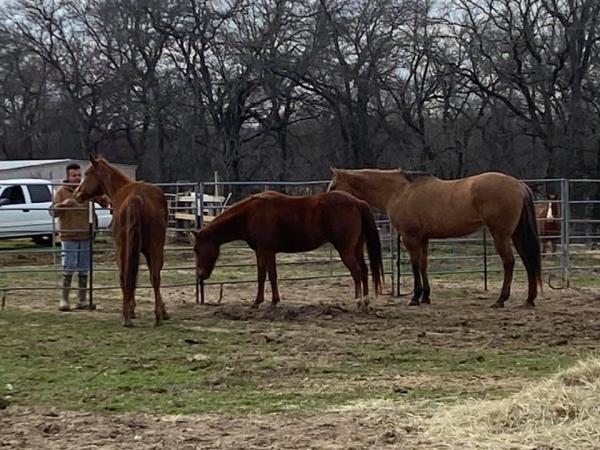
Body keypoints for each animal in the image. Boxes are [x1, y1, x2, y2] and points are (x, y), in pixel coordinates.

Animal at [74, 156, 170, 326]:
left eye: (88, 173)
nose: (77, 193)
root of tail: (137, 198)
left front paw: (131, 309)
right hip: (155, 247)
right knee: (154, 277)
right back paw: (158, 316)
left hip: (124, 248)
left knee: (125, 276)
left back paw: (127, 317)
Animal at [192, 188, 384, 312]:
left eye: (197, 250)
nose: (200, 275)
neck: (250, 214)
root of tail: (357, 202)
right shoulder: (260, 251)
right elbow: (262, 276)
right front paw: (257, 302)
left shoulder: (267, 250)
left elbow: (271, 276)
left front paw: (272, 302)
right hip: (357, 248)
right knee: (364, 270)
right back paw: (366, 302)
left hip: (345, 250)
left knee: (357, 272)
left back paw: (359, 302)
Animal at [328, 169, 544, 310]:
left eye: (334, 185)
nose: (328, 199)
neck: (400, 192)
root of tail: (518, 185)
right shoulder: (423, 239)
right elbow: (423, 265)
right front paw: (426, 296)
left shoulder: (410, 238)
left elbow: (415, 265)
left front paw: (415, 297)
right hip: (516, 234)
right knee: (527, 261)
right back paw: (529, 299)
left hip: (500, 234)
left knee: (509, 262)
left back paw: (501, 299)